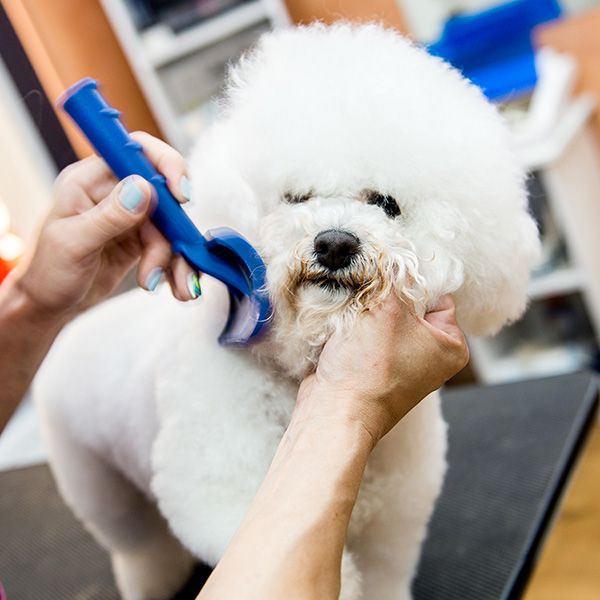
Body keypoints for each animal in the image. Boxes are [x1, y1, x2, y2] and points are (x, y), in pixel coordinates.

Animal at [34, 23, 540, 600]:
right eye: (296, 197)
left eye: (386, 203)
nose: (335, 243)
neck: (296, 378)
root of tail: (74, 329)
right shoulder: (223, 493)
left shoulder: (393, 524)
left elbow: (384, 574)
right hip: (95, 480)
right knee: (137, 543)